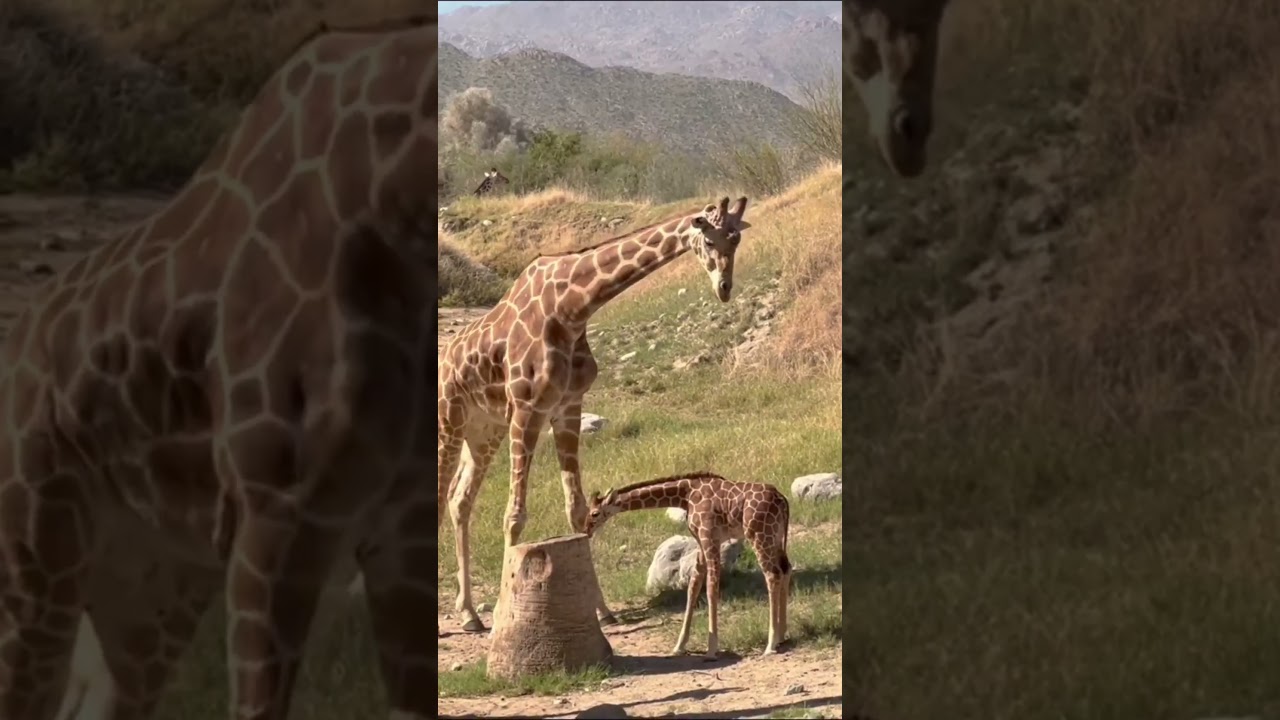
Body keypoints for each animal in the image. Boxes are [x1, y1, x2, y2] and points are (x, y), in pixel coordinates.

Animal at [439, 197, 754, 633]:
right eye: (708, 238)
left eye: (737, 239)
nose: (724, 288)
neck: (572, 309)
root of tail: (447, 358)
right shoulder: (528, 409)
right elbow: (514, 515)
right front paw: (506, 614)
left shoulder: (568, 408)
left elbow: (576, 510)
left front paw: (602, 611)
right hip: (450, 419)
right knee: (442, 498)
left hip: (484, 431)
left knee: (460, 500)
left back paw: (468, 612)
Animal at [584, 472, 792, 659]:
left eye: (594, 513)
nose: (586, 530)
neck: (685, 495)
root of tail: (782, 500)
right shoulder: (701, 541)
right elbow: (693, 587)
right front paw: (679, 646)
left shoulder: (709, 537)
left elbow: (711, 589)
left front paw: (711, 650)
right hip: (776, 537)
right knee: (785, 569)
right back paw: (781, 635)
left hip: (759, 536)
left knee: (772, 574)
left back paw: (770, 644)